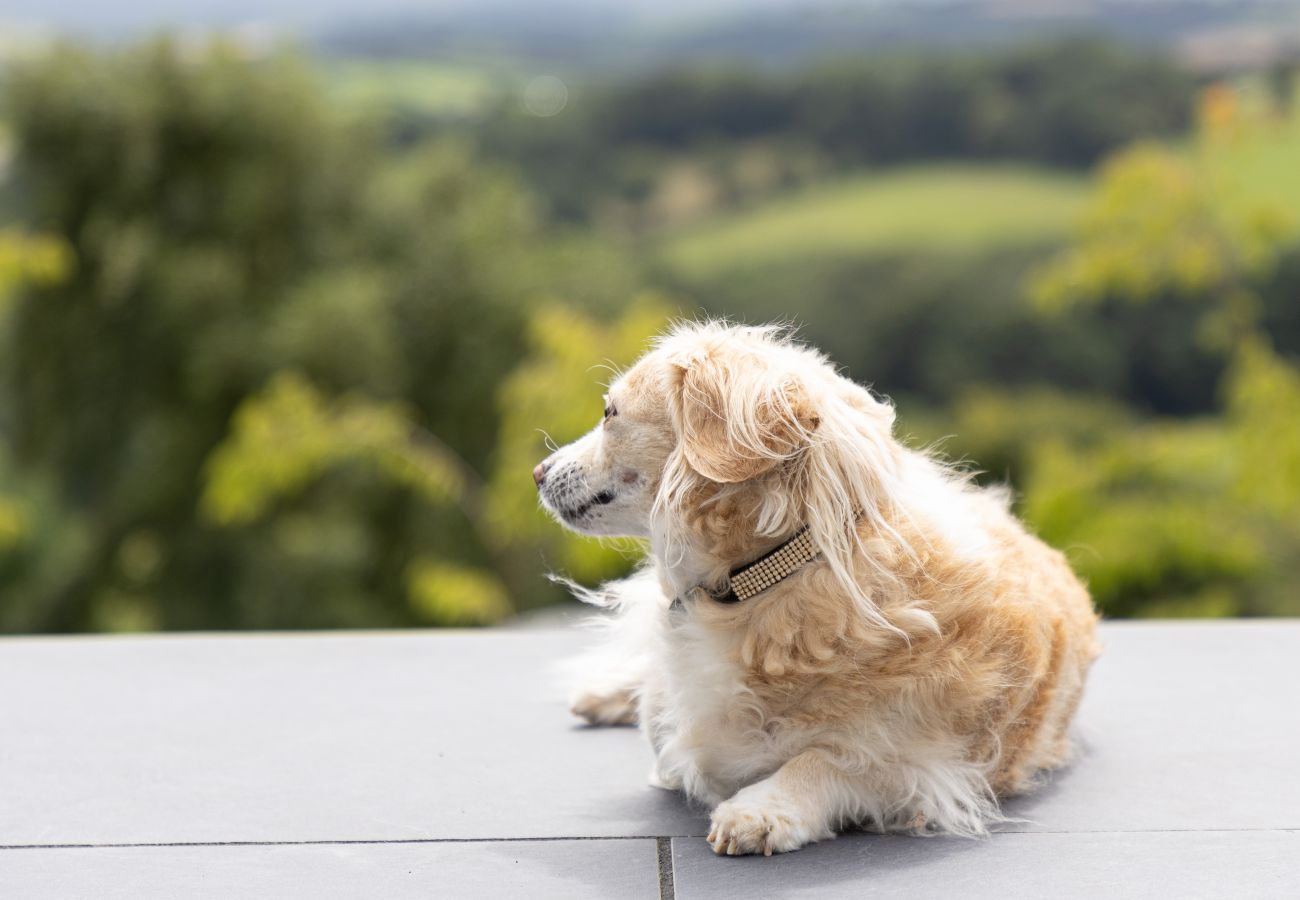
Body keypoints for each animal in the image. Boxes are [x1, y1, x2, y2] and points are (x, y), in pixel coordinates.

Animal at [533, 319, 1102, 853]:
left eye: (609, 413)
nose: (538, 472)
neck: (760, 580)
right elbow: (661, 722)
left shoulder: (928, 771)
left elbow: (828, 760)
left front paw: (760, 808)